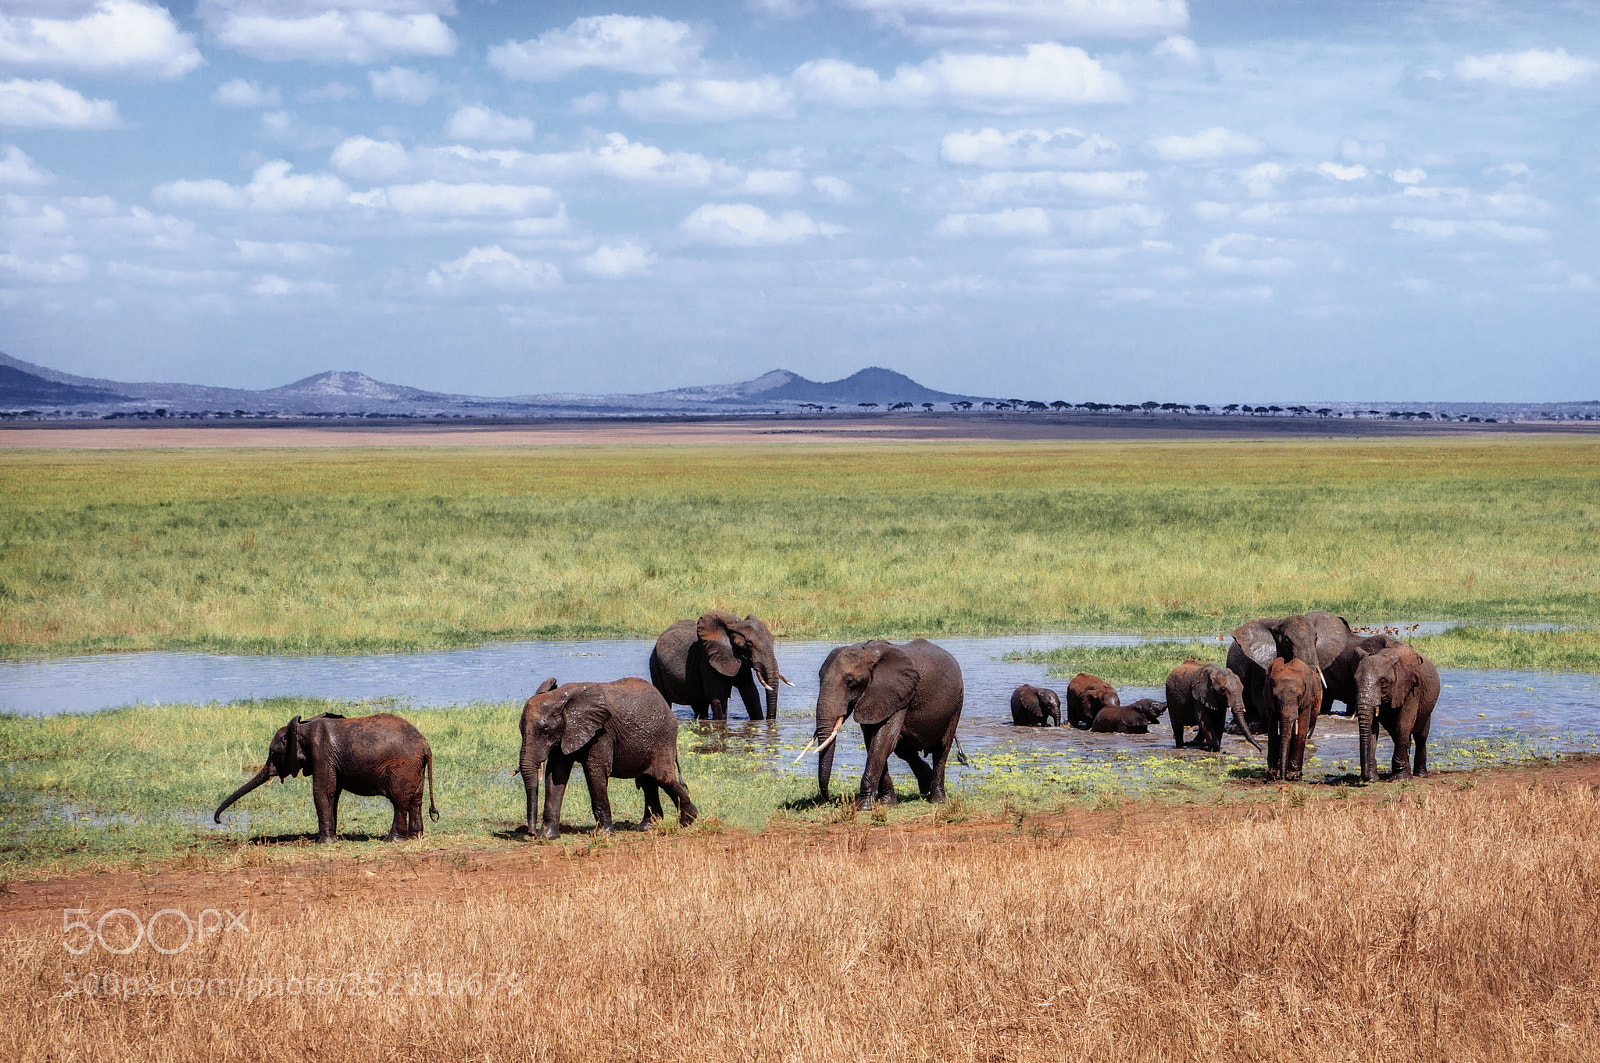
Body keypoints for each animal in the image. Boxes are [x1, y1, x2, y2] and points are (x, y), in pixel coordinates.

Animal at [214, 712, 437, 843]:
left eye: (273, 753)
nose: (218, 821)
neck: (301, 727)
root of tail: (425, 745)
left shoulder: (321, 752)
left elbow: (322, 791)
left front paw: (323, 843)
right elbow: (333, 793)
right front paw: (329, 839)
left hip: (403, 767)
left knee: (399, 801)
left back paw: (391, 840)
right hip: (415, 768)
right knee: (416, 800)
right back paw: (416, 837)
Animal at [518, 677, 697, 840]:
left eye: (546, 730)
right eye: (520, 728)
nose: (530, 833)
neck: (558, 697)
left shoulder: (601, 732)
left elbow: (595, 772)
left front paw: (601, 835)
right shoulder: (566, 734)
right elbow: (556, 775)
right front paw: (546, 836)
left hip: (663, 738)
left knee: (662, 777)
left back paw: (688, 820)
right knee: (648, 781)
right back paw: (647, 827)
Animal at [649, 612, 790, 721]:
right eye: (749, 645)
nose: (770, 720)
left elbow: (751, 693)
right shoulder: (707, 660)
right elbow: (719, 698)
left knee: (700, 705)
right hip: (655, 666)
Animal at [808, 639, 964, 810]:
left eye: (850, 682)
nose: (830, 799)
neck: (868, 652)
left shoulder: (897, 694)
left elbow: (883, 741)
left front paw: (863, 807)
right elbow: (872, 742)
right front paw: (886, 804)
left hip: (956, 706)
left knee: (941, 750)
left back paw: (937, 799)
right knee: (904, 750)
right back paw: (926, 786)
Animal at [1355, 646, 1440, 783]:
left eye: (1383, 682)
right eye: (1355, 681)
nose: (1365, 778)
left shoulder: (1411, 689)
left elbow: (1404, 724)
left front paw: (1400, 779)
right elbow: (1374, 728)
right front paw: (1373, 779)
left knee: (1421, 736)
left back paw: (1420, 775)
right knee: (1396, 734)